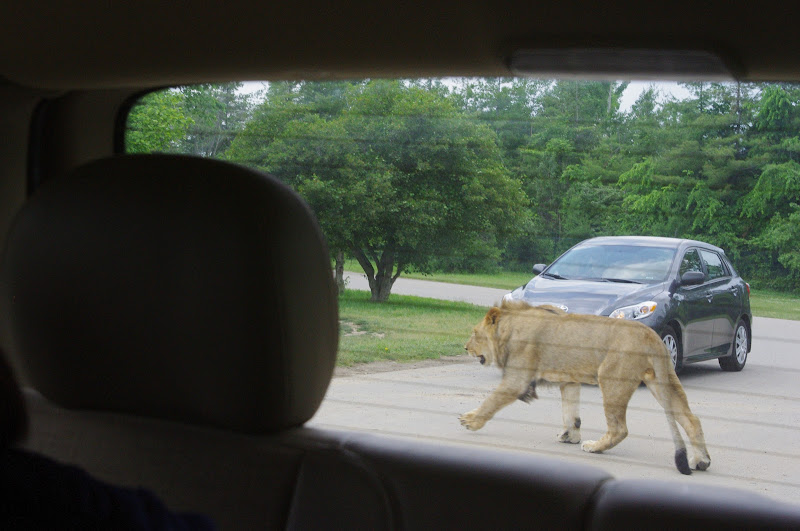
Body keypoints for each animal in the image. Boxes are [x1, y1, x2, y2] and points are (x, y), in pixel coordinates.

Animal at [459, 300, 711, 475]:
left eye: (474, 333)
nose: (465, 348)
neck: (510, 328)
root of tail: (650, 335)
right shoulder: (569, 380)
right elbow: (571, 413)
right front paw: (569, 435)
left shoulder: (517, 379)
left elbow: (491, 401)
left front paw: (470, 421)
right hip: (662, 380)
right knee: (691, 420)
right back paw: (701, 461)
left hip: (610, 379)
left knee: (619, 429)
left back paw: (594, 447)